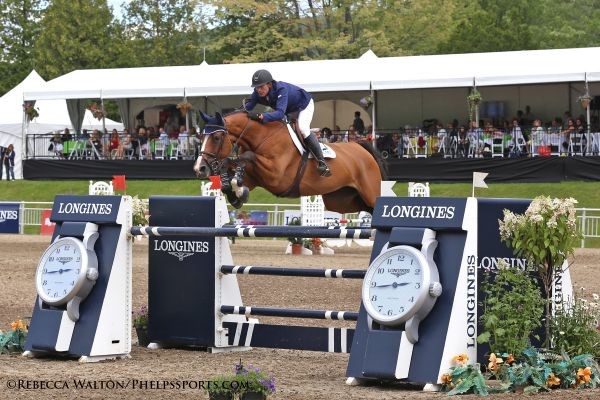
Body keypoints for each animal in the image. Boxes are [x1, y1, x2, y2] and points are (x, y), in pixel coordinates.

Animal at [194, 110, 387, 214]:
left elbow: (247, 156)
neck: (263, 138)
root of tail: (361, 147)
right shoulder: (255, 178)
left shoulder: (275, 176)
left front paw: (238, 188)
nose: (199, 168)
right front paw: (236, 193)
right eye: (201, 137)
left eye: (216, 138)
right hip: (342, 200)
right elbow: (233, 169)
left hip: (369, 193)